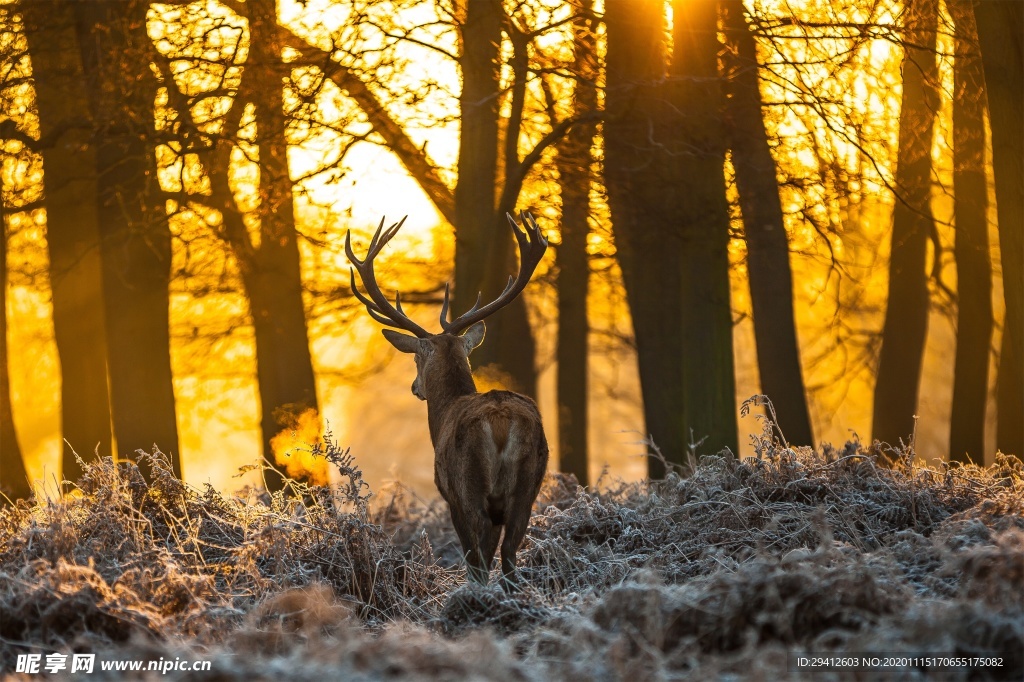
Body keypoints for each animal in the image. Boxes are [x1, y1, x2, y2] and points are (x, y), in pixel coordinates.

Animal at [346, 212, 552, 589]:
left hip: (468, 482)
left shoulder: (449, 493)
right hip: (528, 485)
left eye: (416, 358)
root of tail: (501, 420)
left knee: (480, 555)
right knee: (510, 552)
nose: (416, 387)